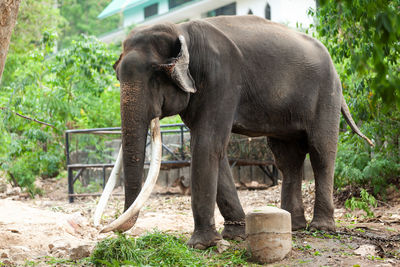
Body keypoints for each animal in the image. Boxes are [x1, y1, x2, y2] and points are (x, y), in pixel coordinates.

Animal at [98, 15, 374, 251]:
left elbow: (206, 143)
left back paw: (321, 228)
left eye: (157, 73)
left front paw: (201, 245)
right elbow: (214, 149)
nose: (106, 231)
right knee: (287, 159)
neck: (181, 29)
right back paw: (295, 226)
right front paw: (233, 236)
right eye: (117, 75)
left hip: (327, 94)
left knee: (321, 152)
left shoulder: (222, 78)